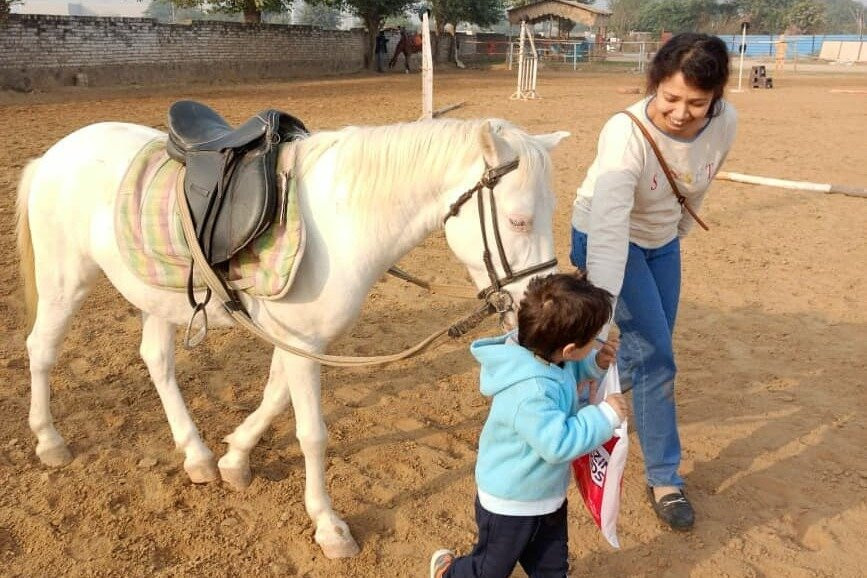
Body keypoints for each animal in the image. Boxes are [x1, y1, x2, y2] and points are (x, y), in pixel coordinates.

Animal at [16, 116, 569, 559]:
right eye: (518, 220)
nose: (537, 311)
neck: (343, 221)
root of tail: (53, 156)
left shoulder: (299, 339)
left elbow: (274, 396)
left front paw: (235, 459)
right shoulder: (303, 343)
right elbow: (312, 433)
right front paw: (329, 527)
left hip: (155, 296)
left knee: (156, 360)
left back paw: (197, 455)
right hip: (66, 281)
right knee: (41, 351)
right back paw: (49, 441)